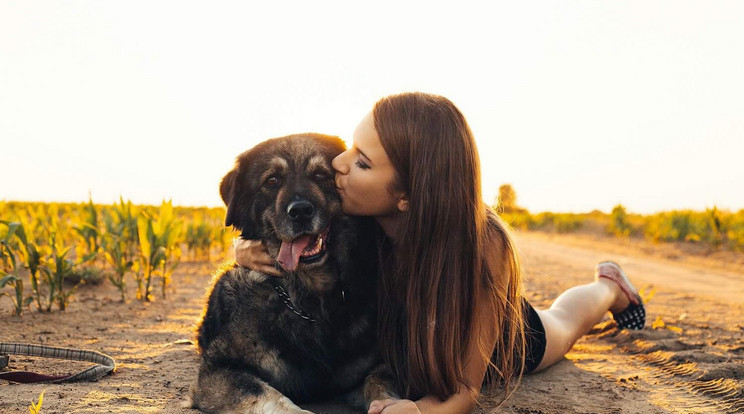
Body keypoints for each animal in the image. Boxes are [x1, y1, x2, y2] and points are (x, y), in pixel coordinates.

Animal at [186, 134, 396, 412]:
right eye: (271, 180)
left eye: (321, 174)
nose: (300, 211)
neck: (309, 300)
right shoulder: (220, 370)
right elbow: (266, 394)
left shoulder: (371, 368)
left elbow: (380, 381)